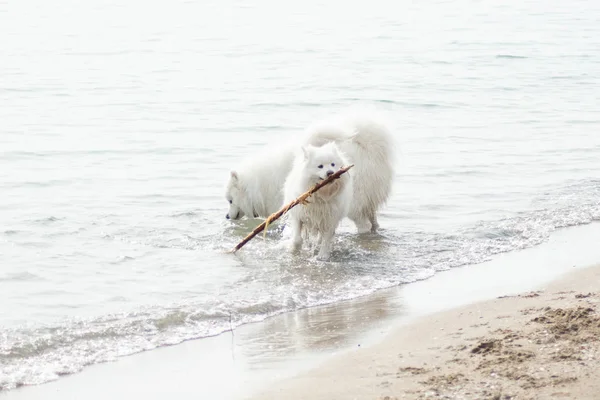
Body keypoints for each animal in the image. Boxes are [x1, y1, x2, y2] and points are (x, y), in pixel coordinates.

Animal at [224, 109, 394, 233]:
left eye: (230, 201)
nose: (226, 216)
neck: (259, 184)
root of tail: (367, 148)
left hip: (354, 202)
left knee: (364, 225)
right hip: (368, 200)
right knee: (373, 221)